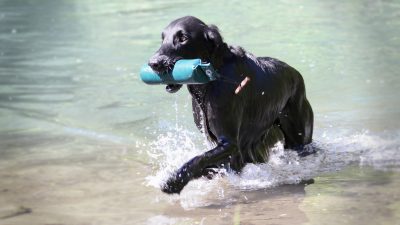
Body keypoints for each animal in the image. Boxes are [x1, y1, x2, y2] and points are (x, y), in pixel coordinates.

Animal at [148, 16, 314, 193]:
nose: (153, 63)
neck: (212, 80)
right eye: (163, 38)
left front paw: (174, 181)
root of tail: (297, 74)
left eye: (183, 38)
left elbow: (199, 159)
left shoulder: (231, 144)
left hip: (299, 137)